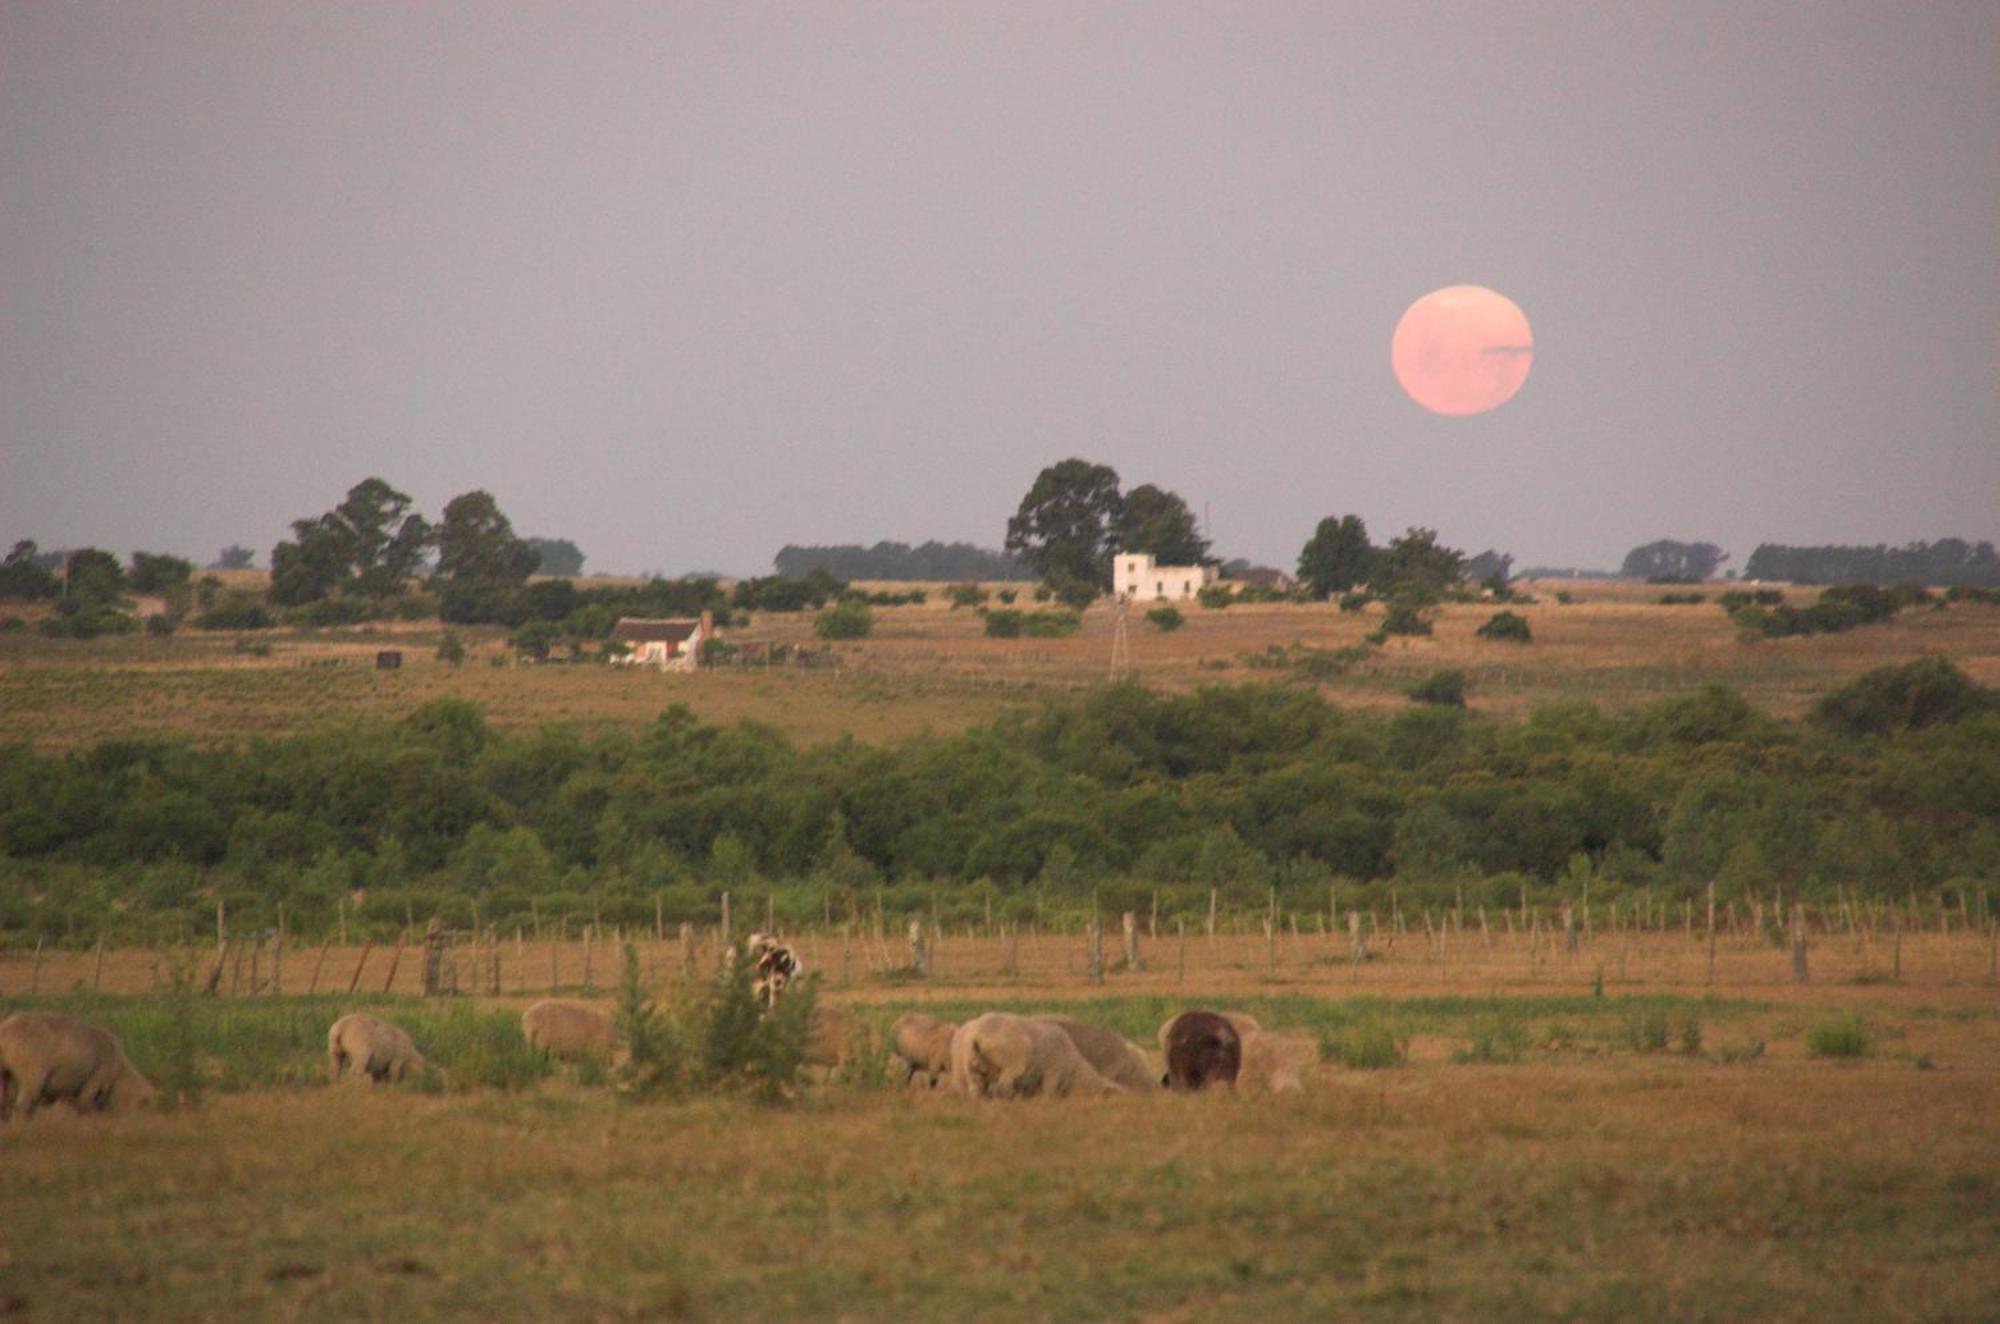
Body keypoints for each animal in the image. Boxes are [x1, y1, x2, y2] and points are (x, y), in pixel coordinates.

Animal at [0, 1016, 156, 1120]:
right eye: (144, 1104)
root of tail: (5, 1032)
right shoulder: (96, 1079)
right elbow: (84, 1105)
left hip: (4, 1073)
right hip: (33, 1074)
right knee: (23, 1104)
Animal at [952, 1016, 1128, 1096]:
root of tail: (976, 1035)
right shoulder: (1053, 1072)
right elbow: (1048, 1092)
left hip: (971, 1067)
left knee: (975, 1088)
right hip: (1010, 1064)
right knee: (1003, 1086)